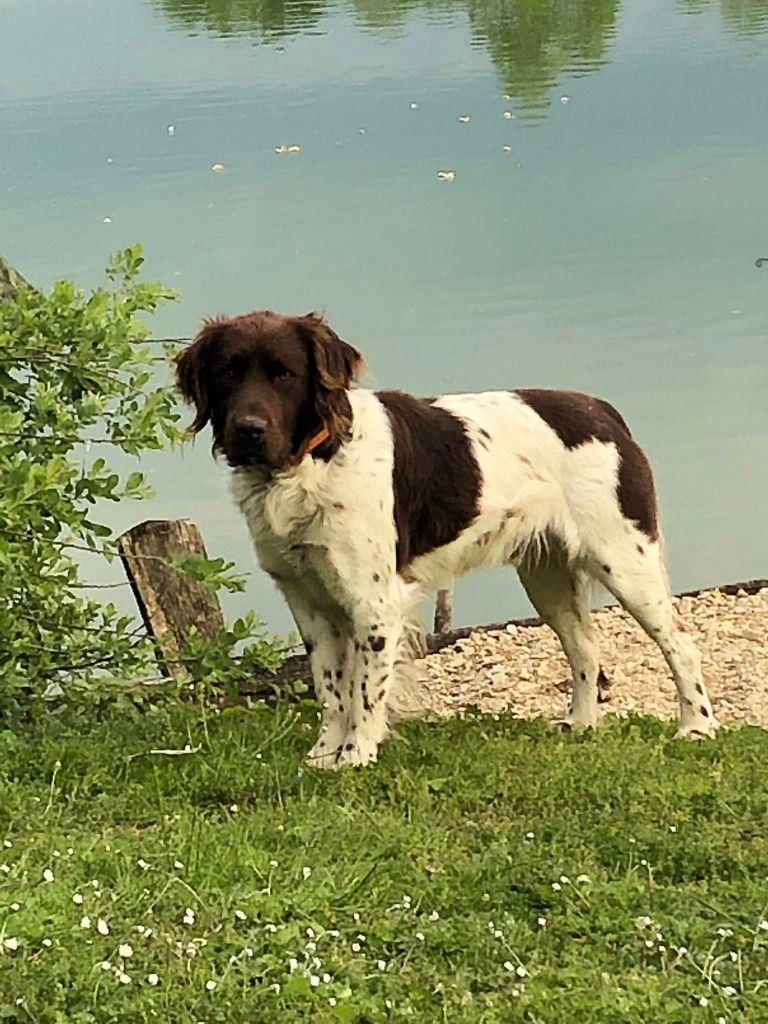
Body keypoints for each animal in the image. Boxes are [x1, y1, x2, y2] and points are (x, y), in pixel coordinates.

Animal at [177, 311, 720, 770]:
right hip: (547, 576)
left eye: (285, 374)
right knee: (585, 647)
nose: (248, 430)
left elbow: (365, 692)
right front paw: (323, 756)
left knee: (681, 646)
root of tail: (603, 411)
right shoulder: (307, 599)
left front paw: (355, 757)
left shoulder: (375, 602)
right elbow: (331, 689)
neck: (312, 461)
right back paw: (581, 723)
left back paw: (697, 726)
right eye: (228, 373)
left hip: (625, 561)